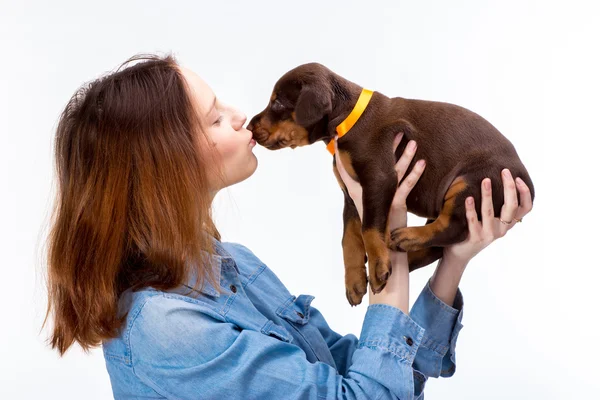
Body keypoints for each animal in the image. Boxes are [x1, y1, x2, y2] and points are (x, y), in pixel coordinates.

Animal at [247, 63, 536, 306]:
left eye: (277, 102)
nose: (250, 126)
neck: (346, 121)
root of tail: (530, 186)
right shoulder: (351, 193)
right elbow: (349, 237)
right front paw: (354, 281)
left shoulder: (378, 178)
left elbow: (368, 229)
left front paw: (376, 267)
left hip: (471, 182)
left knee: (452, 227)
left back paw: (408, 239)